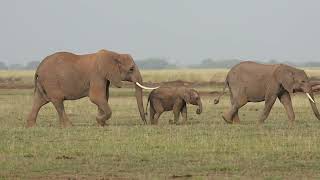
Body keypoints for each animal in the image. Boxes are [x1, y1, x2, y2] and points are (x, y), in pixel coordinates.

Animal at [26, 49, 159, 128]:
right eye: (131, 69)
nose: (146, 122)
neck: (114, 54)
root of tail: (38, 68)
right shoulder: (97, 75)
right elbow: (96, 97)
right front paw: (99, 120)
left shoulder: (105, 77)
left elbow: (104, 97)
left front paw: (102, 124)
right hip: (51, 82)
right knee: (58, 102)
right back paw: (69, 126)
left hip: (44, 84)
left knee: (39, 101)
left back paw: (31, 126)